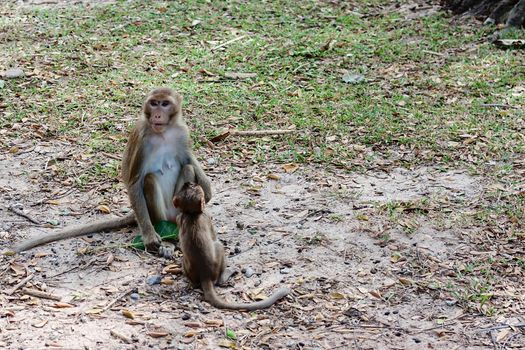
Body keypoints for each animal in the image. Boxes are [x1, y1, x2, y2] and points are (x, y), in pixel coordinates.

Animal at [12, 87, 209, 258]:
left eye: (165, 103)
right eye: (154, 103)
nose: (158, 114)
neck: (163, 133)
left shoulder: (182, 132)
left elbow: (189, 161)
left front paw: (207, 188)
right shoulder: (141, 138)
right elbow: (135, 181)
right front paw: (149, 237)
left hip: (175, 208)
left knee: (188, 169)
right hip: (157, 216)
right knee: (149, 180)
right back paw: (167, 241)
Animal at [173, 182, 290, 310]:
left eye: (189, 187)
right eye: (194, 187)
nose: (189, 183)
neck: (192, 214)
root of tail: (205, 275)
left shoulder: (179, 217)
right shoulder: (207, 216)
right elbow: (214, 237)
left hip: (187, 265)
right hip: (217, 260)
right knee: (219, 247)